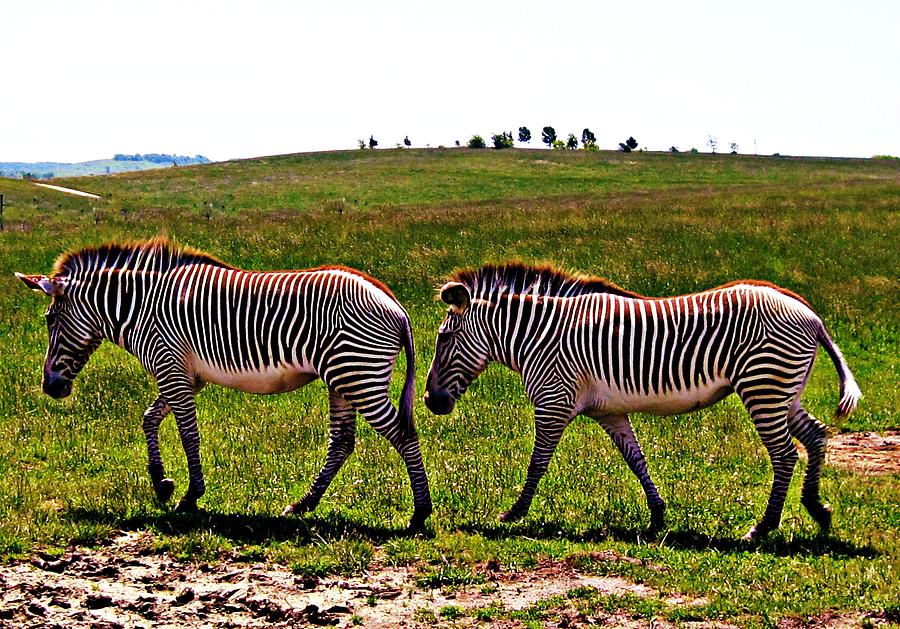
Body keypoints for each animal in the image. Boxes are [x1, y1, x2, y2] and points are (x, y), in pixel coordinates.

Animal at [15, 238, 432, 528]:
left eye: (49, 319)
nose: (51, 387)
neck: (139, 308)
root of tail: (394, 303)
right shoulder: (185, 374)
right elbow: (150, 418)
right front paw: (161, 482)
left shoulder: (170, 366)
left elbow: (188, 434)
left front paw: (189, 497)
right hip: (343, 379)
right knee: (342, 442)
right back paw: (303, 504)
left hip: (358, 374)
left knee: (402, 433)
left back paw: (420, 513)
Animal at [426, 262, 860, 536]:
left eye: (444, 338)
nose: (431, 401)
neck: (540, 336)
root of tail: (810, 313)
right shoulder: (610, 412)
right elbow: (636, 460)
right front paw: (658, 515)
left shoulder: (554, 400)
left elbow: (537, 463)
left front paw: (514, 513)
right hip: (783, 391)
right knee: (816, 436)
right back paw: (818, 511)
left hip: (763, 387)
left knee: (785, 455)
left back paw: (764, 527)